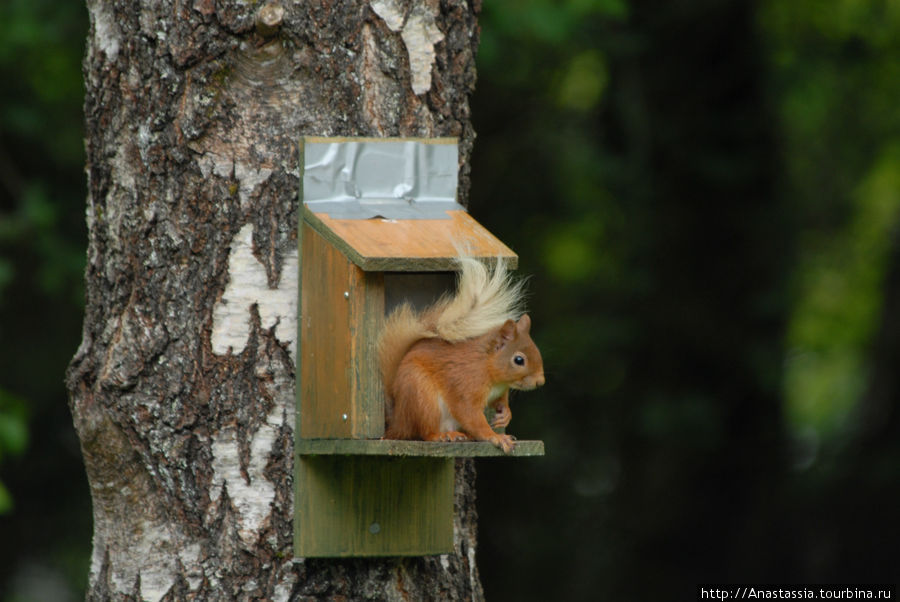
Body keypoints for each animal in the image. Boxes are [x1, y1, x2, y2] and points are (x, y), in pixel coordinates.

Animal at [378, 255, 544, 452]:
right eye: (519, 360)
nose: (540, 381)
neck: (490, 371)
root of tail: (398, 421)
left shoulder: (498, 391)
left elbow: (499, 401)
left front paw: (505, 414)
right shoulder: (467, 384)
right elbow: (470, 414)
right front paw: (495, 437)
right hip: (422, 397)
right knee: (424, 432)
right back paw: (442, 436)